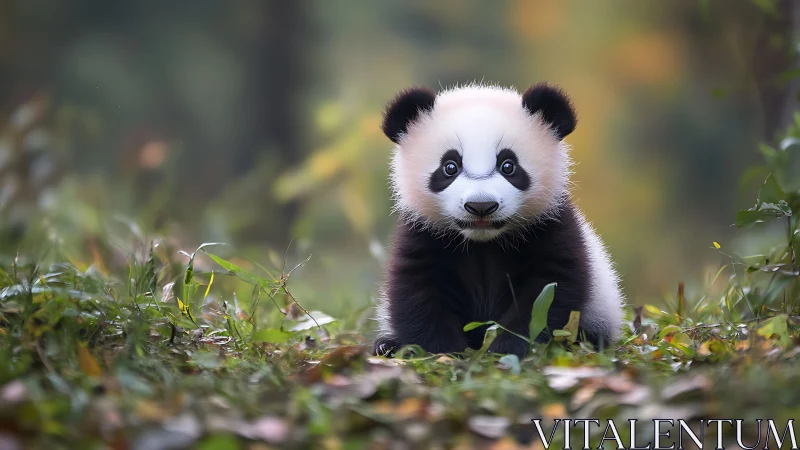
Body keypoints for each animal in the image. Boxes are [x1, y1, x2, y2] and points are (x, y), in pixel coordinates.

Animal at [371, 82, 625, 358]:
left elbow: (546, 294)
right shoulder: (424, 233)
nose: (480, 206)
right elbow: (417, 292)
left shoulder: (550, 227)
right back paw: (385, 345)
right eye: (450, 167)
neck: (483, 243)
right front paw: (445, 353)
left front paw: (507, 349)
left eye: (508, 166)